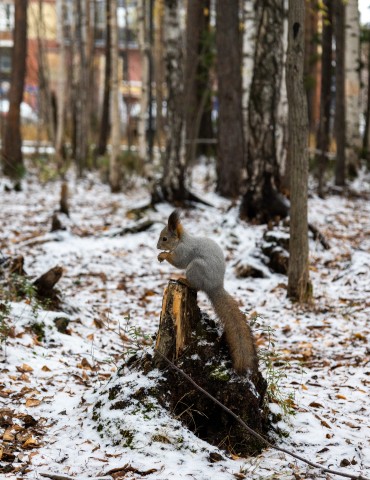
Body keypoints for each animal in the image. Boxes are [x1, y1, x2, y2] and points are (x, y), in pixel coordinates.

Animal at [156, 210, 258, 376]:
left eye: (165, 238)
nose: (158, 246)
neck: (182, 240)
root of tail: (215, 286)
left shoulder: (184, 251)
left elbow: (178, 261)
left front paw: (163, 255)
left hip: (195, 268)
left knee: (195, 285)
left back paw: (183, 280)